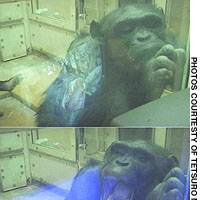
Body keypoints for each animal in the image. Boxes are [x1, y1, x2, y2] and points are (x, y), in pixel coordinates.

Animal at [36, 3, 186, 126]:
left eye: (151, 23)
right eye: (126, 29)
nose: (144, 37)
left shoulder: (173, 39)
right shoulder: (81, 61)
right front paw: (152, 76)